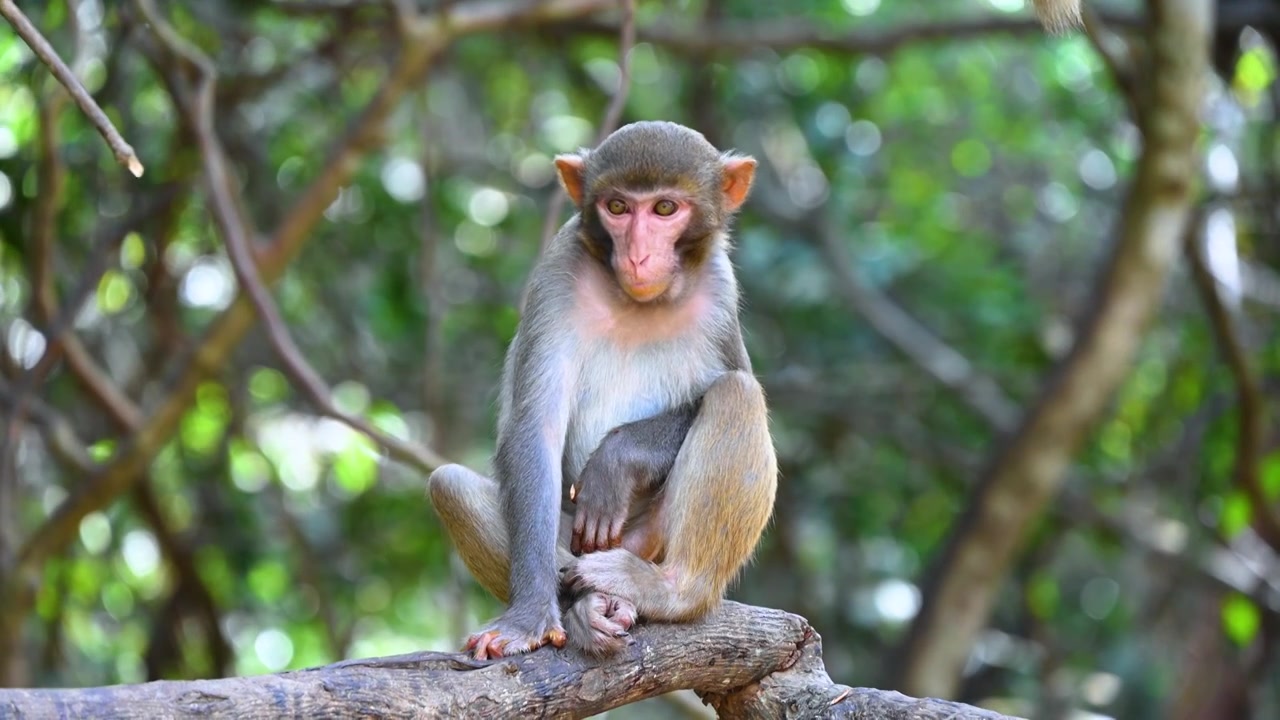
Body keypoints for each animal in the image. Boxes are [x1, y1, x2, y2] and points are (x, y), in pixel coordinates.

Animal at [424, 120, 773, 661]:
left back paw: (669, 591)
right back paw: (587, 608)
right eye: (617, 207)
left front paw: (616, 460)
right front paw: (529, 618)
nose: (638, 254)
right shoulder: (557, 276)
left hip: (647, 537)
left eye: (665, 209)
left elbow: (732, 376)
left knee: (736, 394)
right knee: (450, 485)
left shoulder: (720, 287)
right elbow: (536, 431)